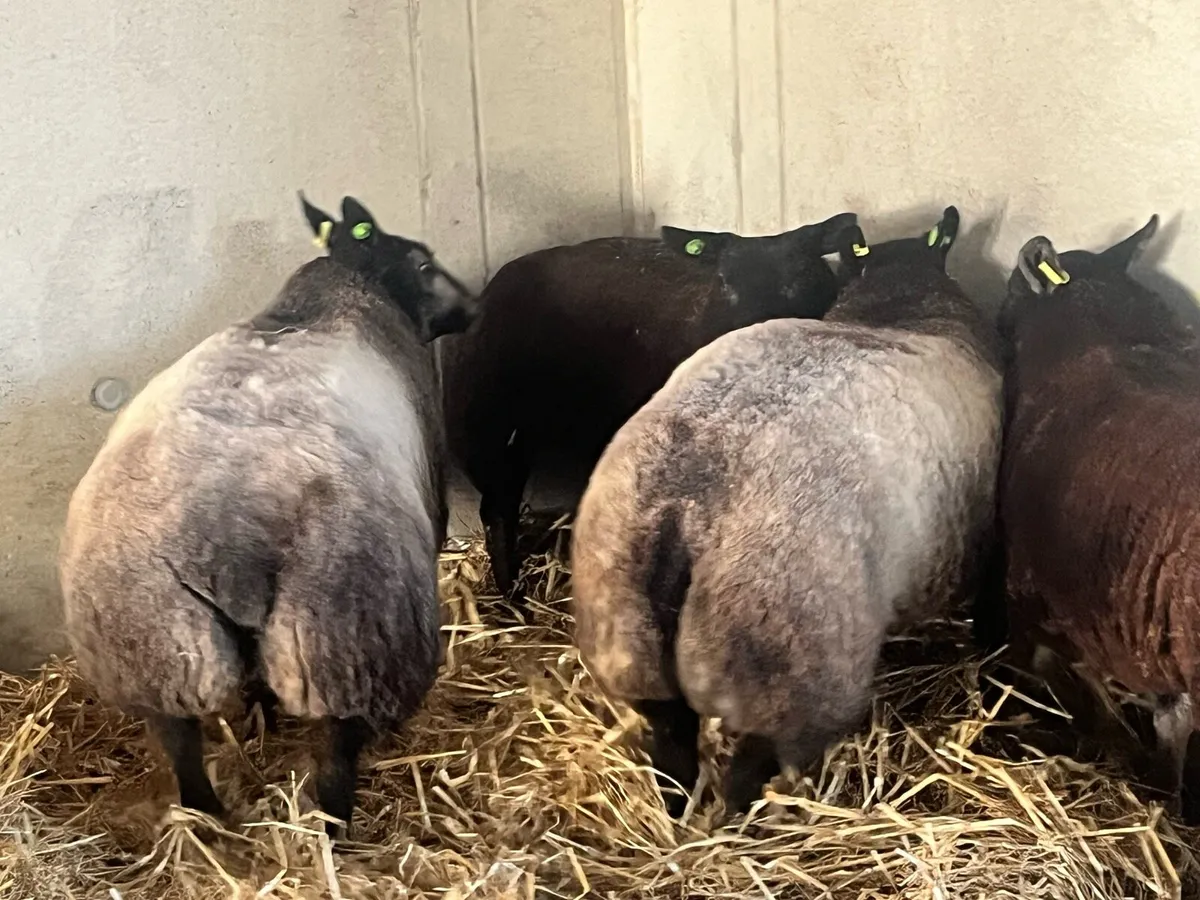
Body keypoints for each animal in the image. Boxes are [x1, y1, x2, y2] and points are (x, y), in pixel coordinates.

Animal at [58, 193, 478, 837]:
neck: (339, 291)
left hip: (154, 650)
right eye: (423, 261)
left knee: (181, 748)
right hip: (346, 641)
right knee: (335, 760)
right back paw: (335, 834)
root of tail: (228, 544)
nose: (474, 306)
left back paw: (210, 824)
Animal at [570, 207, 1004, 815]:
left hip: (630, 645)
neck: (906, 307)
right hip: (792, 676)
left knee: (672, 748)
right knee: (745, 777)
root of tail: (683, 509)